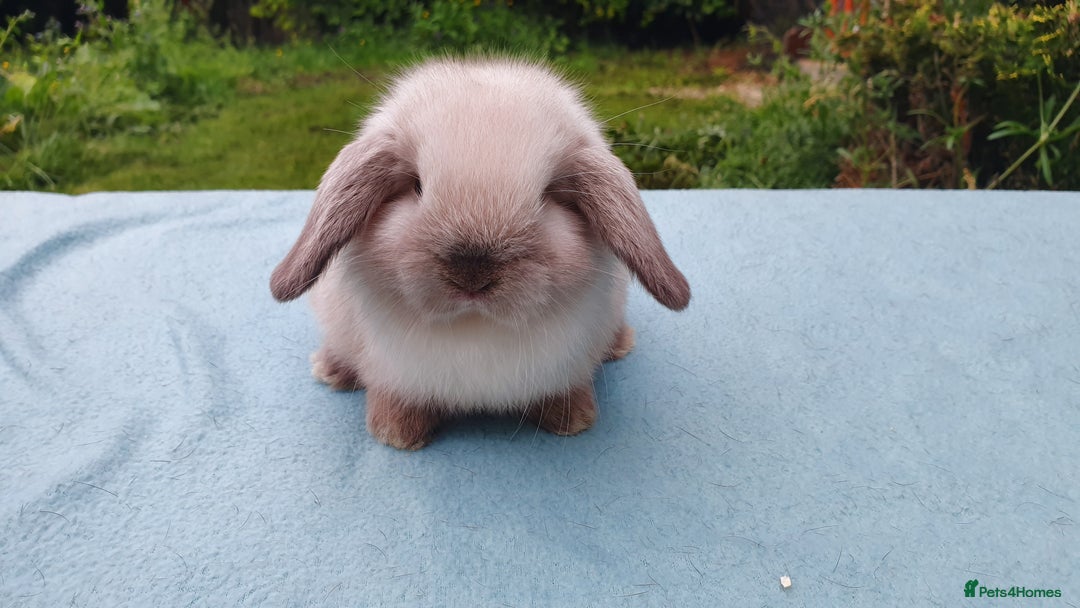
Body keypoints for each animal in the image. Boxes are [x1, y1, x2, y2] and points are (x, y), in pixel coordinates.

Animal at [270, 57, 690, 450]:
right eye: (416, 186)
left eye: (548, 194)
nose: (471, 275)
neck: (475, 327)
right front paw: (395, 433)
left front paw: (574, 419)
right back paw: (330, 370)